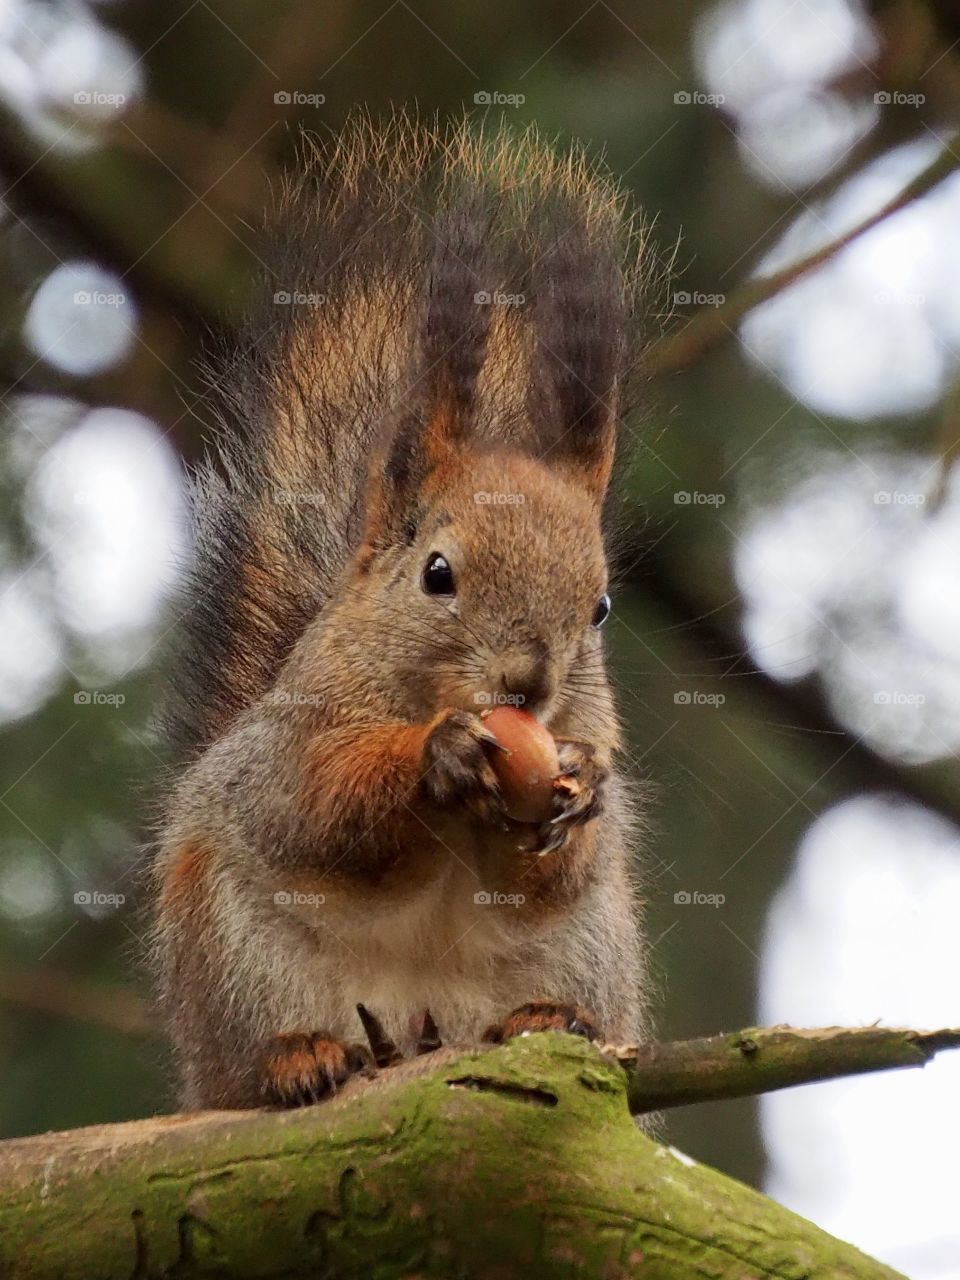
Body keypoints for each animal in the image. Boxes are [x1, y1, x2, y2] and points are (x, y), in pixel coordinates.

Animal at [151, 115, 654, 1110]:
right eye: (437, 575)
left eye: (602, 605)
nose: (528, 685)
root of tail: (415, 1033)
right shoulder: (290, 741)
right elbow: (319, 807)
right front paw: (439, 756)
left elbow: (556, 873)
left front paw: (582, 782)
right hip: (232, 949)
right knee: (263, 1044)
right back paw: (297, 1058)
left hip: (592, 947)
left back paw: (547, 1018)